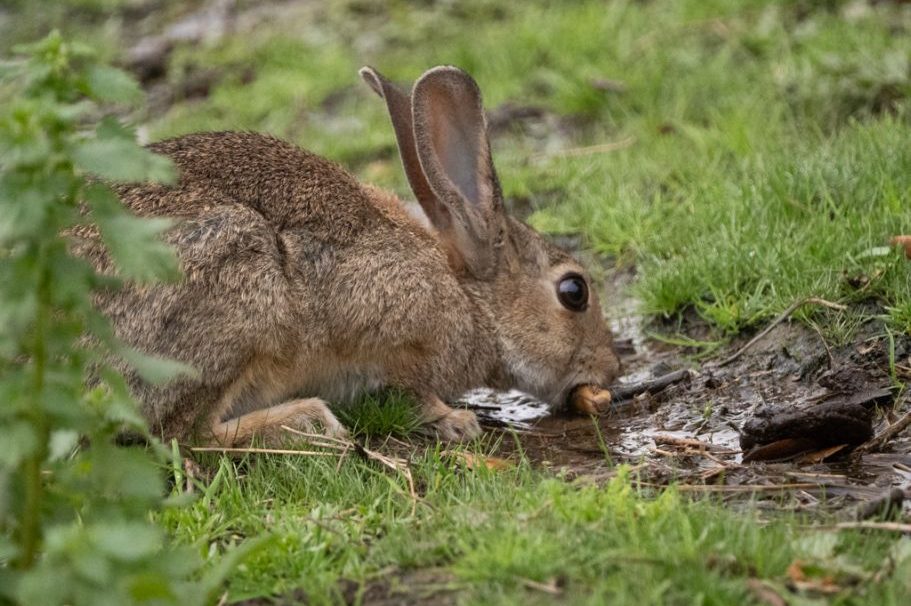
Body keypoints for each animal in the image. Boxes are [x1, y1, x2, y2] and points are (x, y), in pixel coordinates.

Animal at [76, 65, 621, 445]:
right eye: (574, 291)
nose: (611, 369)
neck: (467, 298)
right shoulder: (389, 327)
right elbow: (409, 389)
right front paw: (454, 421)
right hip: (240, 290)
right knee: (185, 437)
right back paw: (310, 420)